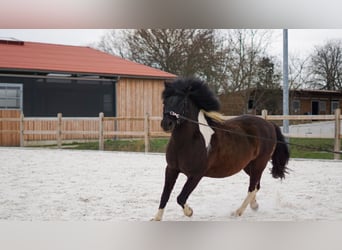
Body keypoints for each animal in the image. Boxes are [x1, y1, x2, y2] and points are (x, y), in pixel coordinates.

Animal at [152, 78, 288, 221]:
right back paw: (254, 206)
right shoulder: (171, 169)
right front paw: (156, 218)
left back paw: (237, 212)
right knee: (256, 185)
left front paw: (189, 212)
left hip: (259, 164)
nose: (166, 124)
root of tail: (269, 124)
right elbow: (165, 195)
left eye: (182, 102)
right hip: (248, 165)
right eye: (164, 102)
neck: (187, 142)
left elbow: (181, 198)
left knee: (252, 187)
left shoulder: (196, 175)